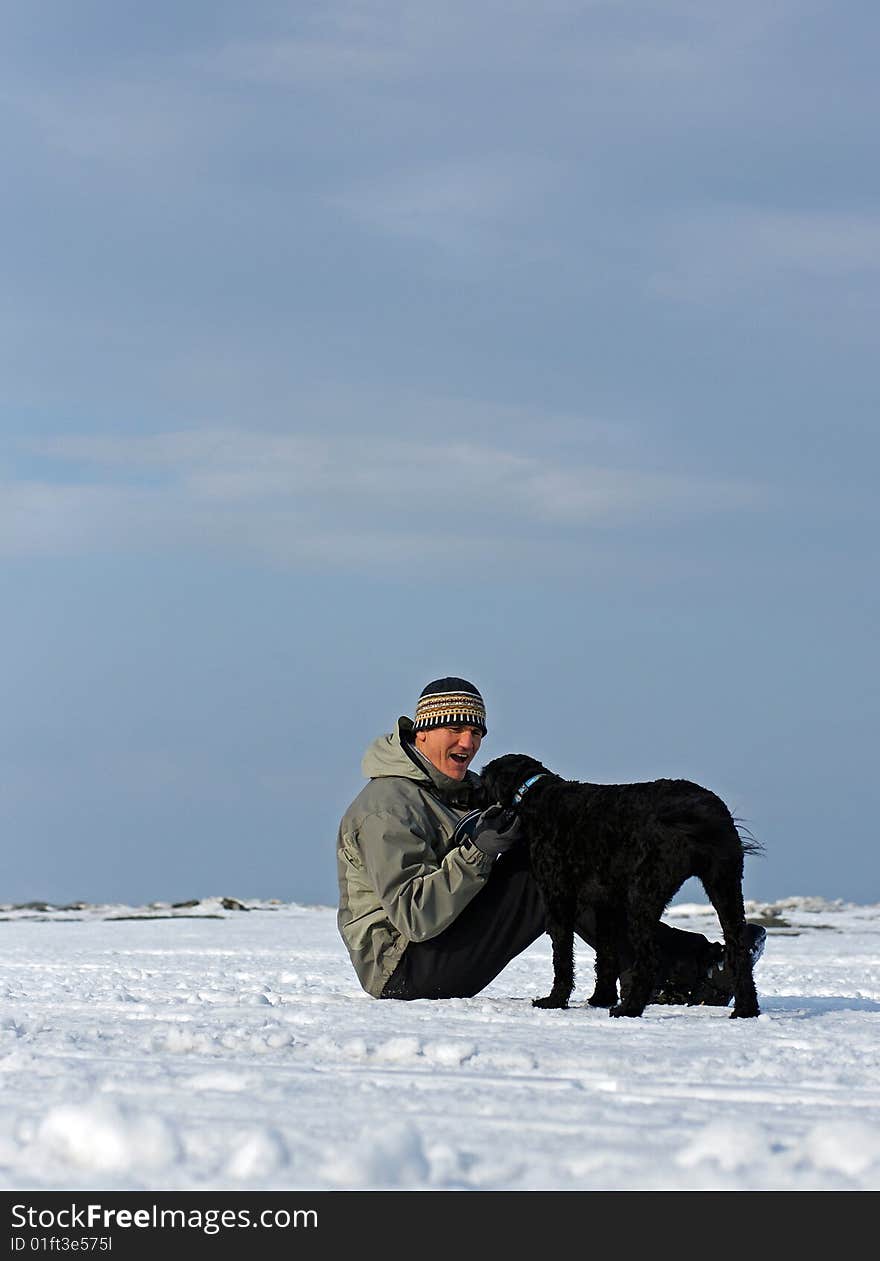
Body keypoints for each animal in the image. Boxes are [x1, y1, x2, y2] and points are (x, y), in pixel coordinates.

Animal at [476, 751, 756, 1018]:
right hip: (725, 885)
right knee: (739, 948)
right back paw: (746, 1009)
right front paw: (601, 998)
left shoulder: (559, 898)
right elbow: (606, 954)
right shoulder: (606, 904)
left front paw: (555, 1001)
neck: (537, 795)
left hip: (643, 895)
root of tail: (703, 811)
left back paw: (629, 1008)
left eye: (484, 778)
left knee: (650, 959)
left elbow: (562, 955)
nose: (472, 790)